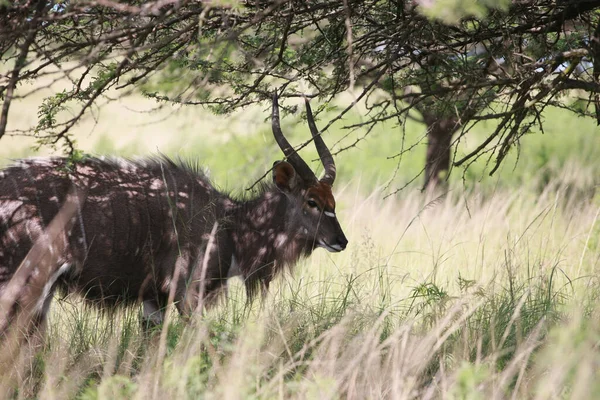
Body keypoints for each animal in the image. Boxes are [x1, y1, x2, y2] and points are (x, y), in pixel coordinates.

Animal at [0, 93, 346, 328]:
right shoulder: (186, 294)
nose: (341, 241)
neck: (228, 223)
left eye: (333, 202)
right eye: (311, 201)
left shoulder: (154, 301)